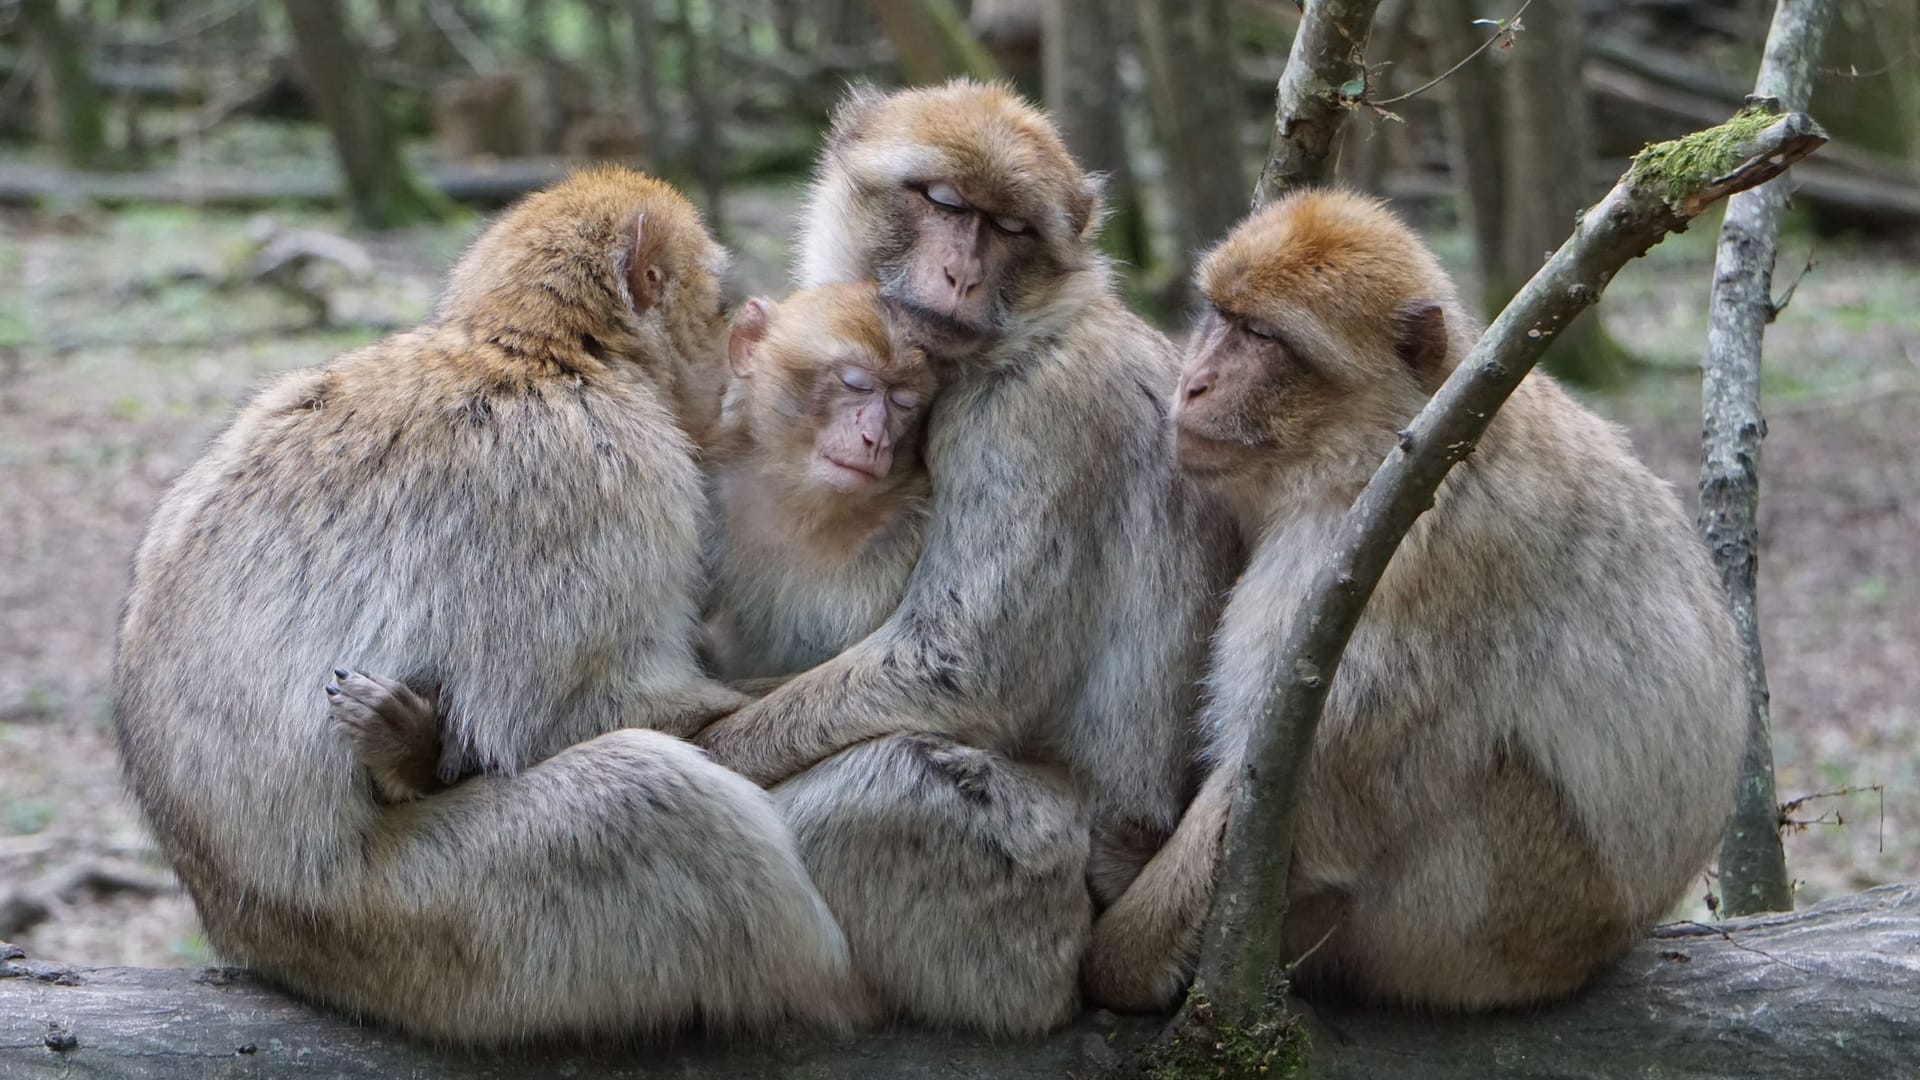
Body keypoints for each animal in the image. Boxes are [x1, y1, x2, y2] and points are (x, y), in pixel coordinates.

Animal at [107, 170, 856, 1045]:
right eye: (720, 306)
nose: (736, 362)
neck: (540, 349)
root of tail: (245, 927)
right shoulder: (604, 473)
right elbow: (564, 718)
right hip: (438, 929)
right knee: (650, 794)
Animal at [1090, 191, 1751, 1006]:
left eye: (1262, 337)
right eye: (1221, 315)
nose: (1195, 383)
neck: (1375, 452)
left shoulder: (1368, 563)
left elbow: (1282, 786)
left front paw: (1123, 956)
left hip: (1500, 916)